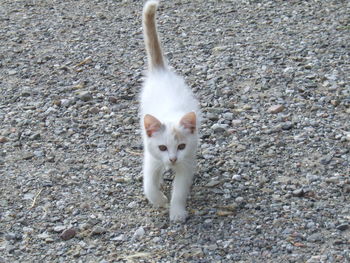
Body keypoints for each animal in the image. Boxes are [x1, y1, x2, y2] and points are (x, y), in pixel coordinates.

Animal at [139, 0, 200, 223]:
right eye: (163, 147)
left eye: (181, 146)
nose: (172, 159)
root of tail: (161, 71)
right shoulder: (151, 157)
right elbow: (148, 185)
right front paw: (159, 200)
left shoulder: (187, 161)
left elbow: (180, 190)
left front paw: (177, 212)